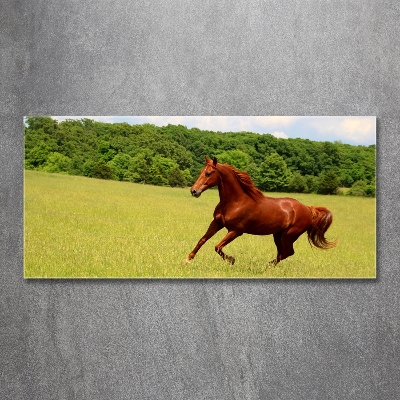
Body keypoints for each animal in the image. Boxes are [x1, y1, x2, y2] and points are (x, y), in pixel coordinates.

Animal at [186, 156, 336, 266]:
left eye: (208, 173)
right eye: (200, 172)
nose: (194, 191)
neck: (236, 201)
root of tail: (308, 209)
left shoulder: (236, 231)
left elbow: (217, 246)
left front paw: (232, 260)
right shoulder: (217, 223)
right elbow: (202, 240)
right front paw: (188, 259)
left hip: (289, 235)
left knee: (287, 252)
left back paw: (266, 266)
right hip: (278, 235)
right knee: (283, 253)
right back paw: (268, 266)